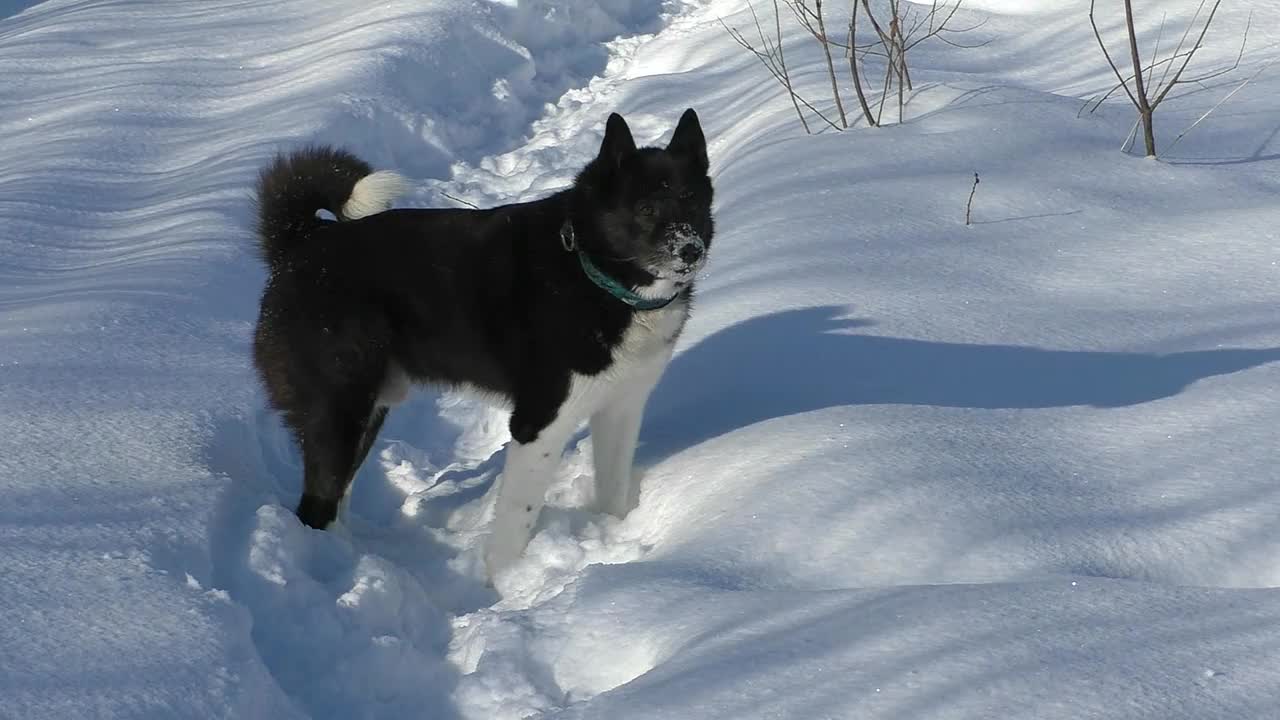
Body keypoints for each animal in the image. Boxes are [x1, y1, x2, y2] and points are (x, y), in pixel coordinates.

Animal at [249, 107, 711, 576]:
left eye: (693, 201)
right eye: (647, 208)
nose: (691, 250)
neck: (591, 271)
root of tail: (302, 242)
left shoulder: (620, 409)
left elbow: (613, 492)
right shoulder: (537, 424)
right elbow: (515, 524)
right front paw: (505, 583)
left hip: (368, 410)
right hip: (338, 413)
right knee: (315, 507)